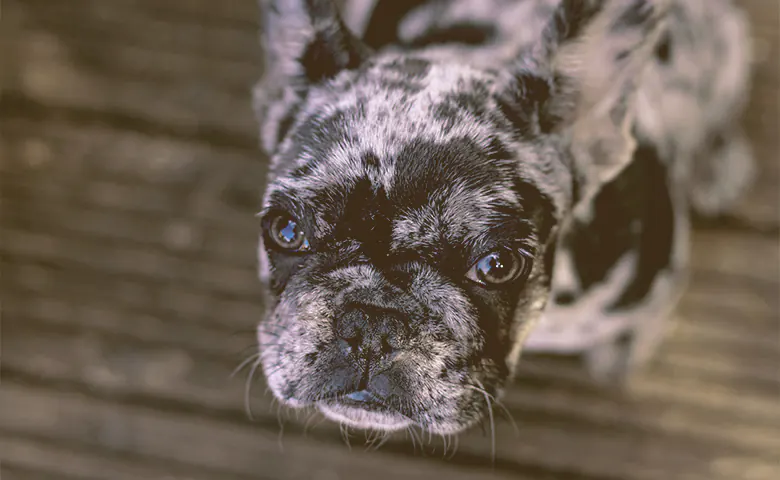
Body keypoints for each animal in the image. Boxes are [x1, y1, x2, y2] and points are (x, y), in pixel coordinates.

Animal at [250, 0, 748, 436]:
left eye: (499, 264)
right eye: (285, 230)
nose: (373, 322)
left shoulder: (658, 274)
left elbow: (648, 319)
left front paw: (622, 354)